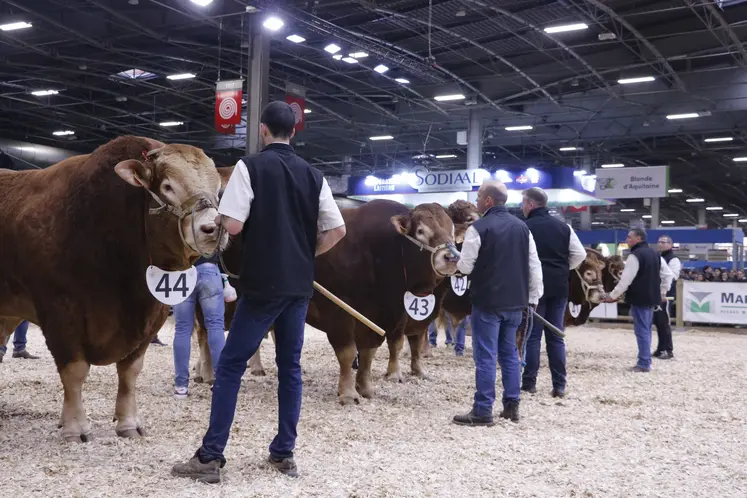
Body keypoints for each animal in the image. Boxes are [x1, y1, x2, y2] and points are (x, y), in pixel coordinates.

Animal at [0, 135, 228, 440]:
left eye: (218, 190)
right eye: (168, 186)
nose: (214, 227)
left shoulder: (152, 314)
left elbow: (130, 372)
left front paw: (128, 423)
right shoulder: (60, 311)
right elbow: (75, 371)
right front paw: (75, 426)